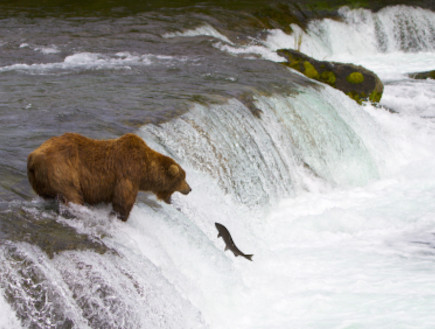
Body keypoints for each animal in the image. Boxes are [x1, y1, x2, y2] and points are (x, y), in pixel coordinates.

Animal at [26, 133, 191, 220]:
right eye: (183, 178)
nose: (189, 189)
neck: (145, 171)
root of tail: (32, 157)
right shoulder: (128, 172)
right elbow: (123, 199)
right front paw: (121, 216)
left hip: (40, 181)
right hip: (62, 171)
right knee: (72, 194)